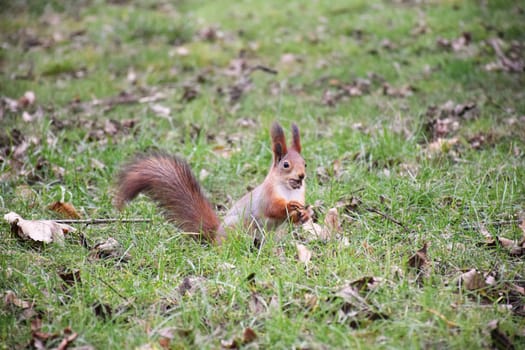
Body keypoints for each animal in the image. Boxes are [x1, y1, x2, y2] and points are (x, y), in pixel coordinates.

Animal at [114, 121, 310, 245]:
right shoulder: (267, 195)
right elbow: (273, 208)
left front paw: (306, 214)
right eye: (286, 165)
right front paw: (290, 206)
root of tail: (215, 236)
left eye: (305, 163)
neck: (289, 189)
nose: (301, 176)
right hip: (238, 227)